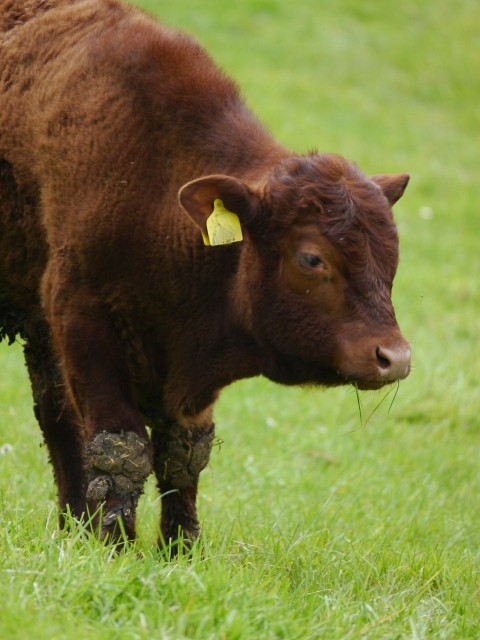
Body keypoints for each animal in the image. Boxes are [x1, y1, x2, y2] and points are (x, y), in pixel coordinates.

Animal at [0, 0, 410, 549]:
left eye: (392, 254)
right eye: (311, 258)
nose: (394, 357)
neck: (155, 184)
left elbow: (183, 454)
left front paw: (180, 547)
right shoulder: (80, 316)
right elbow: (120, 446)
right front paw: (116, 544)